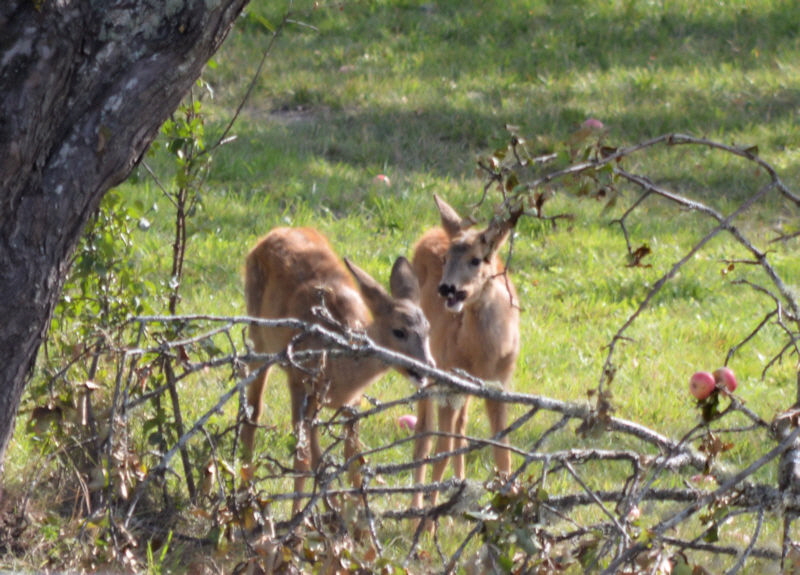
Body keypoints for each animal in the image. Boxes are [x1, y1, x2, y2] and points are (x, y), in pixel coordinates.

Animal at [242, 227, 434, 516]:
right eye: (398, 331)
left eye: (428, 329)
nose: (428, 367)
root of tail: (270, 234)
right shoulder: (300, 383)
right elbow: (303, 459)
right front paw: (302, 518)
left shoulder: (352, 402)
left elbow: (353, 459)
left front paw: (357, 516)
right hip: (258, 334)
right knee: (253, 410)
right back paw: (246, 487)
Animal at [410, 197, 520, 512]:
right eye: (446, 259)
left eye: (476, 259)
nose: (447, 288)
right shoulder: (448, 379)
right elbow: (441, 452)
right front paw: (429, 518)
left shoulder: (500, 385)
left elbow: (503, 454)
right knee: (424, 433)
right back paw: (417, 504)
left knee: (460, 427)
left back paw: (456, 491)